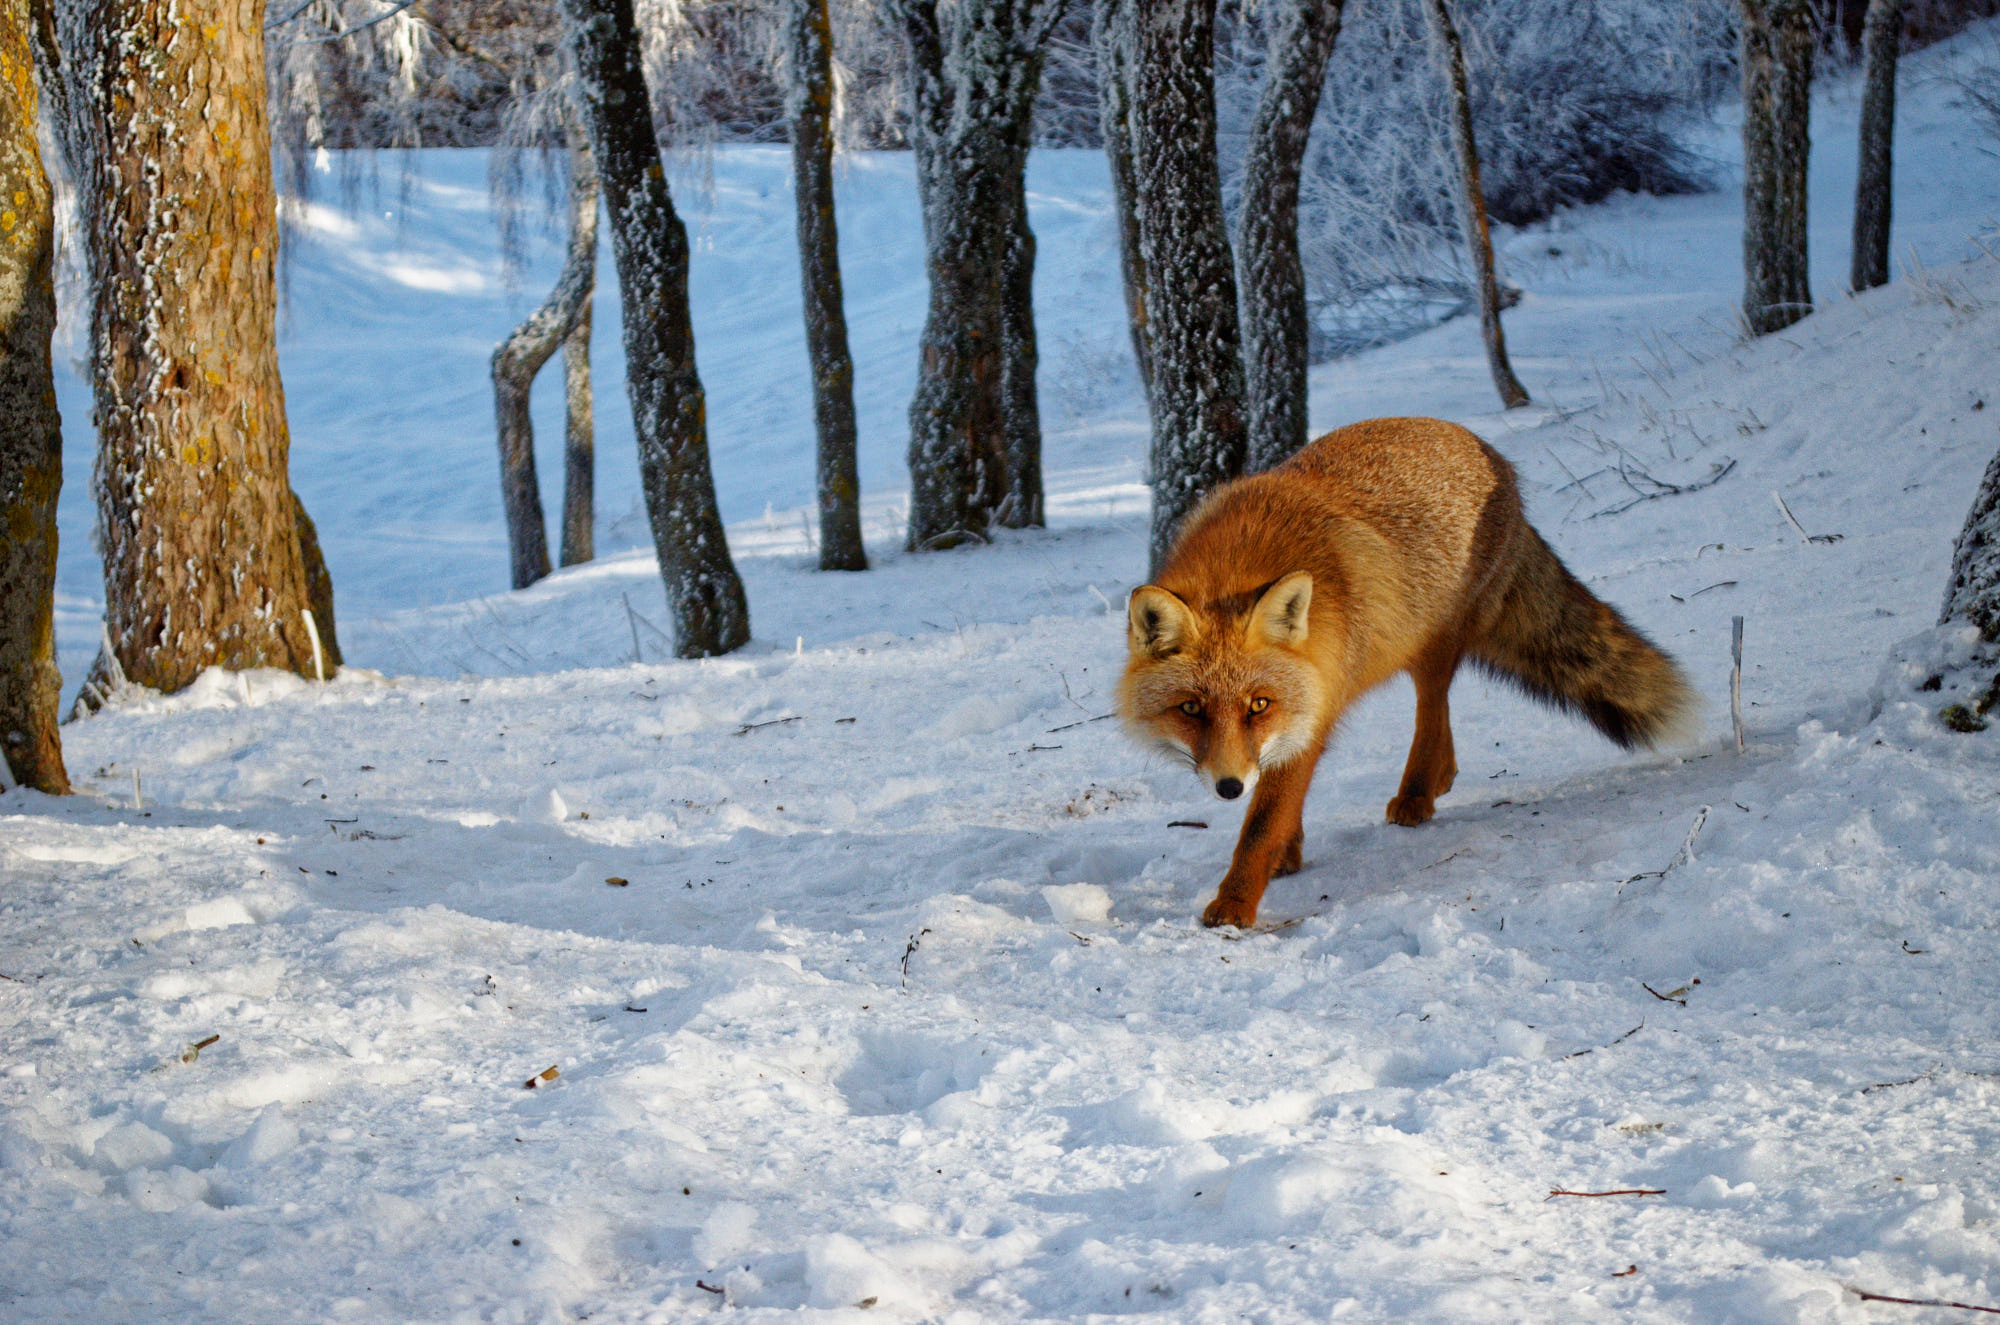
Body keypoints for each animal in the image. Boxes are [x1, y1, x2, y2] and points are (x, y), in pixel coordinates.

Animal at [1120, 420, 1696, 928]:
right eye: (1191, 709)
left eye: (1258, 705)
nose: (1229, 787)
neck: (1239, 563)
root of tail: (1490, 452)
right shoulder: (1307, 704)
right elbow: (1282, 800)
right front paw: (1287, 852)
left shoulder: (1315, 707)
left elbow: (1262, 824)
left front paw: (1236, 903)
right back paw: (1440, 780)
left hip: (1431, 644)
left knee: (1432, 712)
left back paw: (1419, 792)